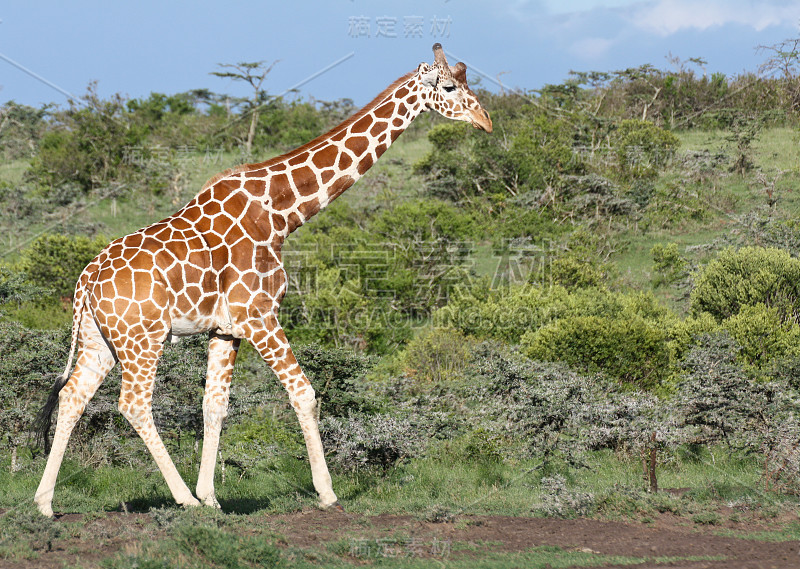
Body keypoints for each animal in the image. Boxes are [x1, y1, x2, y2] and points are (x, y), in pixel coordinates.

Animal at [34, 43, 494, 516]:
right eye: (449, 86)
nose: (486, 121)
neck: (279, 213)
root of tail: (85, 281)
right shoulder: (259, 315)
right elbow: (304, 394)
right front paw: (326, 493)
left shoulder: (226, 329)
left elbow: (215, 406)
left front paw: (212, 496)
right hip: (143, 338)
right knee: (134, 404)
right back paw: (181, 498)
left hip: (100, 339)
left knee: (72, 397)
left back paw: (45, 503)